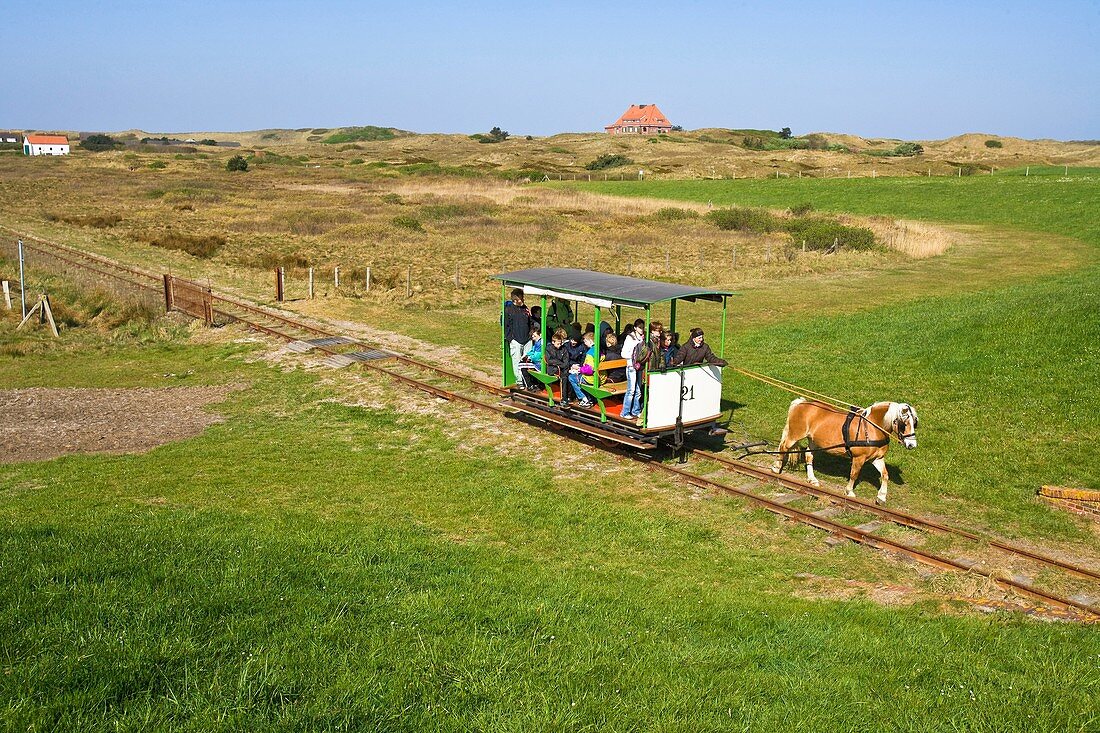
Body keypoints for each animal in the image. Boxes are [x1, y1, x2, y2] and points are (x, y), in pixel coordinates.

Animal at [774, 400, 919, 501]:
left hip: (813, 440)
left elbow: (885, 475)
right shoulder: (859, 458)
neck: (871, 427)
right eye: (904, 423)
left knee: (809, 455)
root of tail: (800, 402)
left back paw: (812, 479)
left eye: (915, 423)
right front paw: (849, 491)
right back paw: (776, 468)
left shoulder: (877, 458)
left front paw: (881, 497)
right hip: (795, 434)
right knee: (783, 447)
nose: (912, 444)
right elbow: (854, 474)